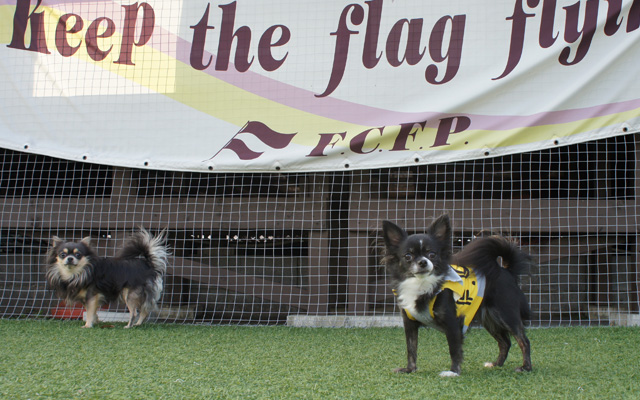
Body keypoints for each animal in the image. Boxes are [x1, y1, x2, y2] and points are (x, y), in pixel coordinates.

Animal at [382, 214, 534, 377]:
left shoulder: (452, 322)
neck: (422, 284)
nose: (423, 262)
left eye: (432, 254)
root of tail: (506, 271)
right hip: (489, 319)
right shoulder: (409, 323)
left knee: (524, 341)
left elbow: (454, 349)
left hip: (506, 314)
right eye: (408, 256)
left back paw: (526, 367)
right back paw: (496, 364)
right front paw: (409, 369)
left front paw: (453, 372)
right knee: (505, 342)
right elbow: (411, 349)